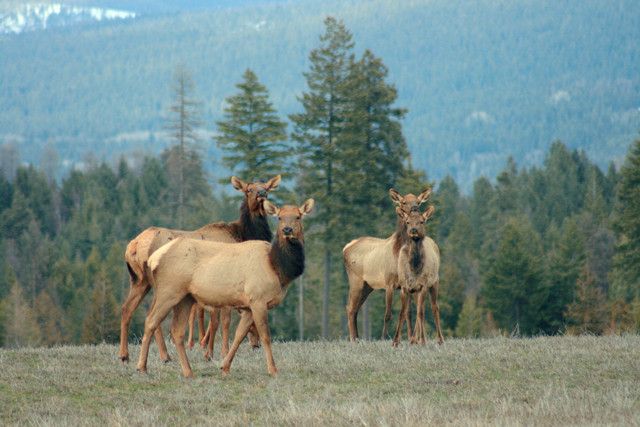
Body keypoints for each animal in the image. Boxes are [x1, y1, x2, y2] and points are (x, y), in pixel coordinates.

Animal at [120, 174, 280, 364]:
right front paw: (221, 353)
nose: (261, 194)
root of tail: (133, 246)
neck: (242, 234)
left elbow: (213, 318)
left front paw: (208, 352)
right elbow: (223, 320)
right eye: (249, 189)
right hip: (160, 283)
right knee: (152, 314)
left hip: (139, 280)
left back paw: (125, 355)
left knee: (127, 309)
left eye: (266, 187)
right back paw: (164, 355)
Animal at [136, 199, 314, 376]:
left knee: (177, 331)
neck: (277, 268)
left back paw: (188, 371)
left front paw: (225, 366)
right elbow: (265, 336)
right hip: (168, 291)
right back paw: (142, 367)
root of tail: (154, 258)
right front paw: (273, 369)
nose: (287, 230)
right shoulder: (258, 299)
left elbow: (239, 335)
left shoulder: (248, 306)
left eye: (298, 216)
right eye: (279, 217)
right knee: (150, 320)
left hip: (185, 297)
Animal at [342, 189, 432, 342]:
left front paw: (411, 338)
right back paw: (354, 339)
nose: (414, 209)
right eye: (404, 202)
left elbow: (409, 312)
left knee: (354, 308)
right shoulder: (389, 282)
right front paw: (384, 338)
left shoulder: (409, 284)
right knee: (350, 308)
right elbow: (387, 314)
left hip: (367, 286)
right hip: (356, 280)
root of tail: (346, 247)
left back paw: (358, 338)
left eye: (418, 202)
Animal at [392, 206, 442, 348]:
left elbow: (420, 313)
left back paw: (439, 339)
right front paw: (395, 342)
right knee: (418, 310)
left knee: (434, 308)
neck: (414, 268)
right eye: (408, 222)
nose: (413, 230)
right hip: (415, 291)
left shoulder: (423, 285)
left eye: (422, 221)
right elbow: (402, 313)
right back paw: (414, 339)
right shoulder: (404, 287)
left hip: (434, 282)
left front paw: (423, 340)